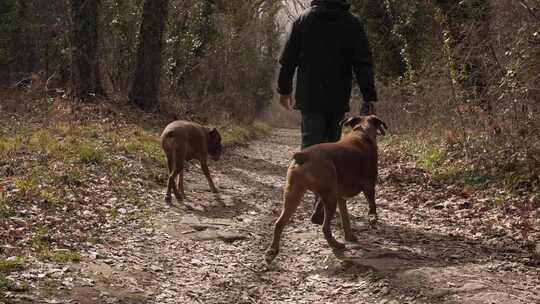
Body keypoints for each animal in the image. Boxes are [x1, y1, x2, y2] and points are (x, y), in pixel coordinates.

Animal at [264, 115, 384, 262]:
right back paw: (336, 245)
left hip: (293, 195)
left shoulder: (341, 198)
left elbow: (346, 219)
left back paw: (272, 252)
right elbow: (372, 204)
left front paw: (349, 236)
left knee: (279, 223)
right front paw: (373, 218)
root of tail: (304, 156)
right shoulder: (369, 186)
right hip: (329, 199)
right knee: (325, 228)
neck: (361, 132)